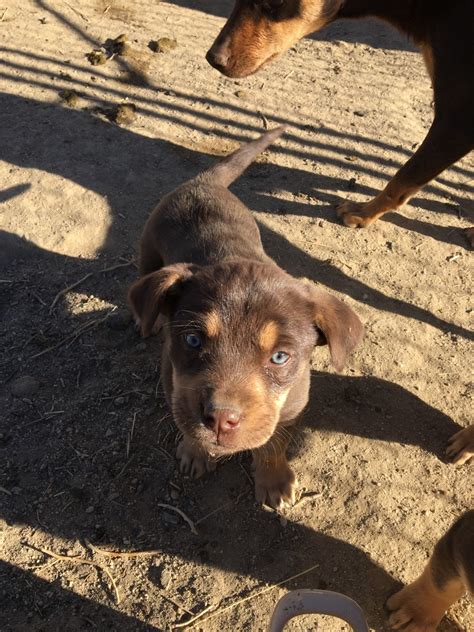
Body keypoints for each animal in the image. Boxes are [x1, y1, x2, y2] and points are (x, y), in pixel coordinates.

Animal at [129, 128, 362, 508]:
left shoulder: (291, 406)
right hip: (148, 248)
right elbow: (185, 423)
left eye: (280, 357)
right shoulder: (174, 383)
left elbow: (274, 443)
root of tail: (204, 181)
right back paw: (146, 320)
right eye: (192, 340)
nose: (221, 419)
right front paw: (195, 452)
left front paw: (274, 480)